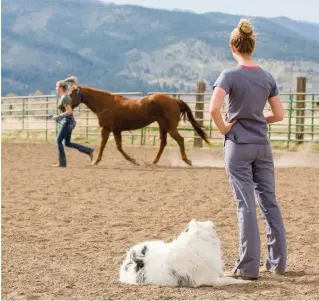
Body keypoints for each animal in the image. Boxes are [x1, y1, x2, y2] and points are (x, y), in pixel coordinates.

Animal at [64, 76, 210, 165]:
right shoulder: (116, 130)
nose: (62, 106)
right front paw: (133, 160)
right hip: (163, 126)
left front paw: (95, 161)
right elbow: (119, 147)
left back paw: (186, 160)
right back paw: (153, 161)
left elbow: (102, 145)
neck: (105, 103)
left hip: (170, 127)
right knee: (163, 143)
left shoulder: (106, 129)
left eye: (71, 93)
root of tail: (175, 100)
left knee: (180, 140)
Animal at [119, 218, 248, 286]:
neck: (198, 240)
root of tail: (130, 259)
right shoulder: (212, 279)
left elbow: (226, 275)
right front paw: (244, 282)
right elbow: (230, 280)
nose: (212, 222)